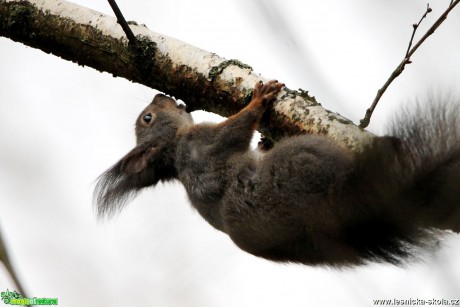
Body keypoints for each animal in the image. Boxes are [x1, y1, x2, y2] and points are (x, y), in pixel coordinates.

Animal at [94, 82, 460, 268]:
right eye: (148, 118)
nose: (160, 95)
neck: (174, 149)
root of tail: (335, 218)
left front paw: (264, 140)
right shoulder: (204, 143)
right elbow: (236, 130)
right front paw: (257, 101)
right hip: (304, 157)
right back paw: (388, 148)